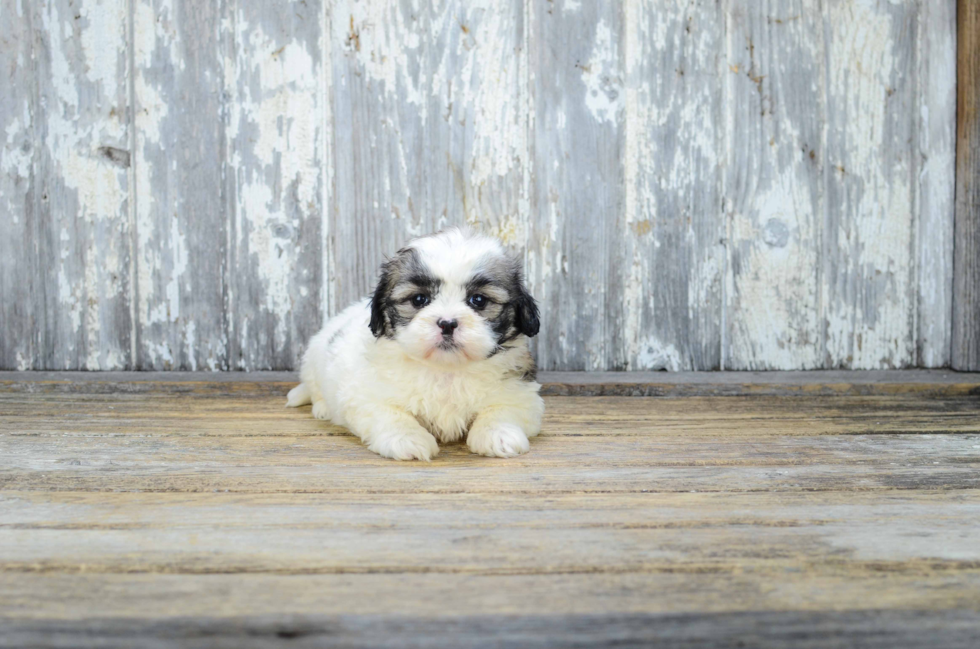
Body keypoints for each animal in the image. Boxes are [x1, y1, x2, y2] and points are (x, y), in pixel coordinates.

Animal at [288, 229, 544, 460]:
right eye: (419, 299)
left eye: (478, 300)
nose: (447, 323)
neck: (446, 371)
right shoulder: (367, 395)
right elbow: (392, 414)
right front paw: (406, 439)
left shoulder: (519, 393)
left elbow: (502, 409)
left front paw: (498, 434)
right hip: (314, 360)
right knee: (315, 388)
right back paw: (322, 408)